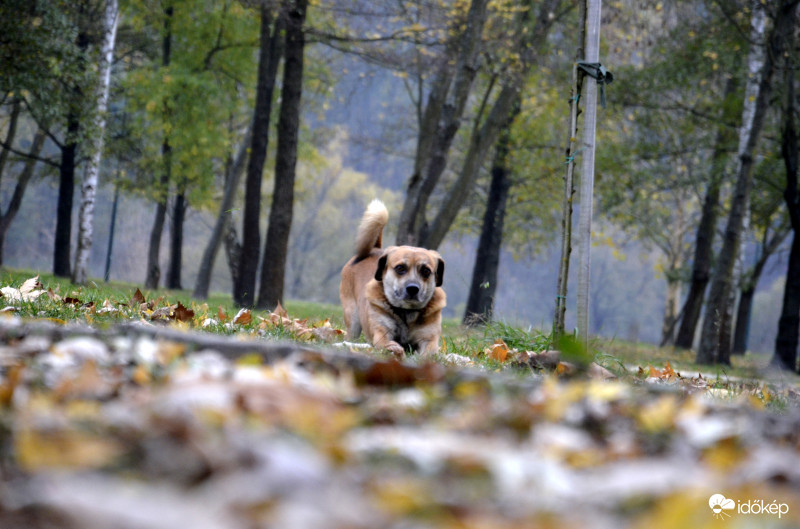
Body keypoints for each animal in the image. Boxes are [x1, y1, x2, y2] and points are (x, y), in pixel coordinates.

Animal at [340, 200, 446, 356]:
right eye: (400, 268)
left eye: (426, 271)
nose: (413, 289)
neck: (407, 314)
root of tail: (375, 248)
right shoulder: (382, 331)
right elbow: (385, 342)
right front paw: (394, 349)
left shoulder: (429, 338)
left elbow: (428, 352)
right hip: (352, 317)